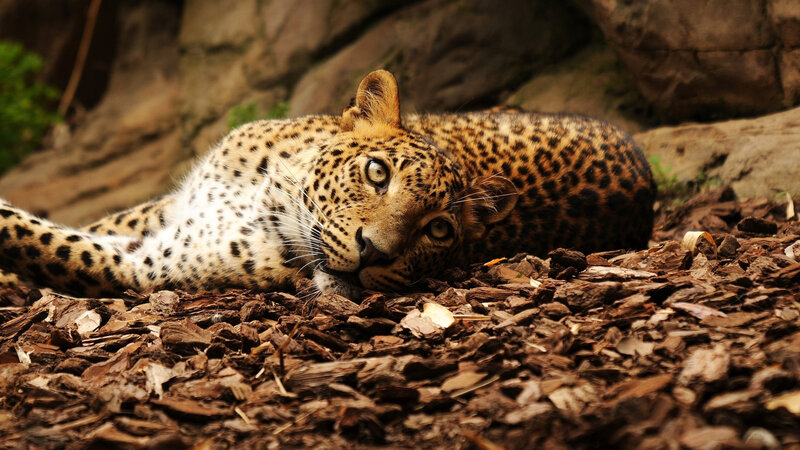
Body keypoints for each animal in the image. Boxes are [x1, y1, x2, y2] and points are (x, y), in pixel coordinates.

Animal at [0, 70, 654, 299]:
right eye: (377, 173)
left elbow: (35, 238)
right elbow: (93, 221)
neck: (266, 196)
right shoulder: (170, 209)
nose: (375, 254)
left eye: (438, 231)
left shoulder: (145, 266)